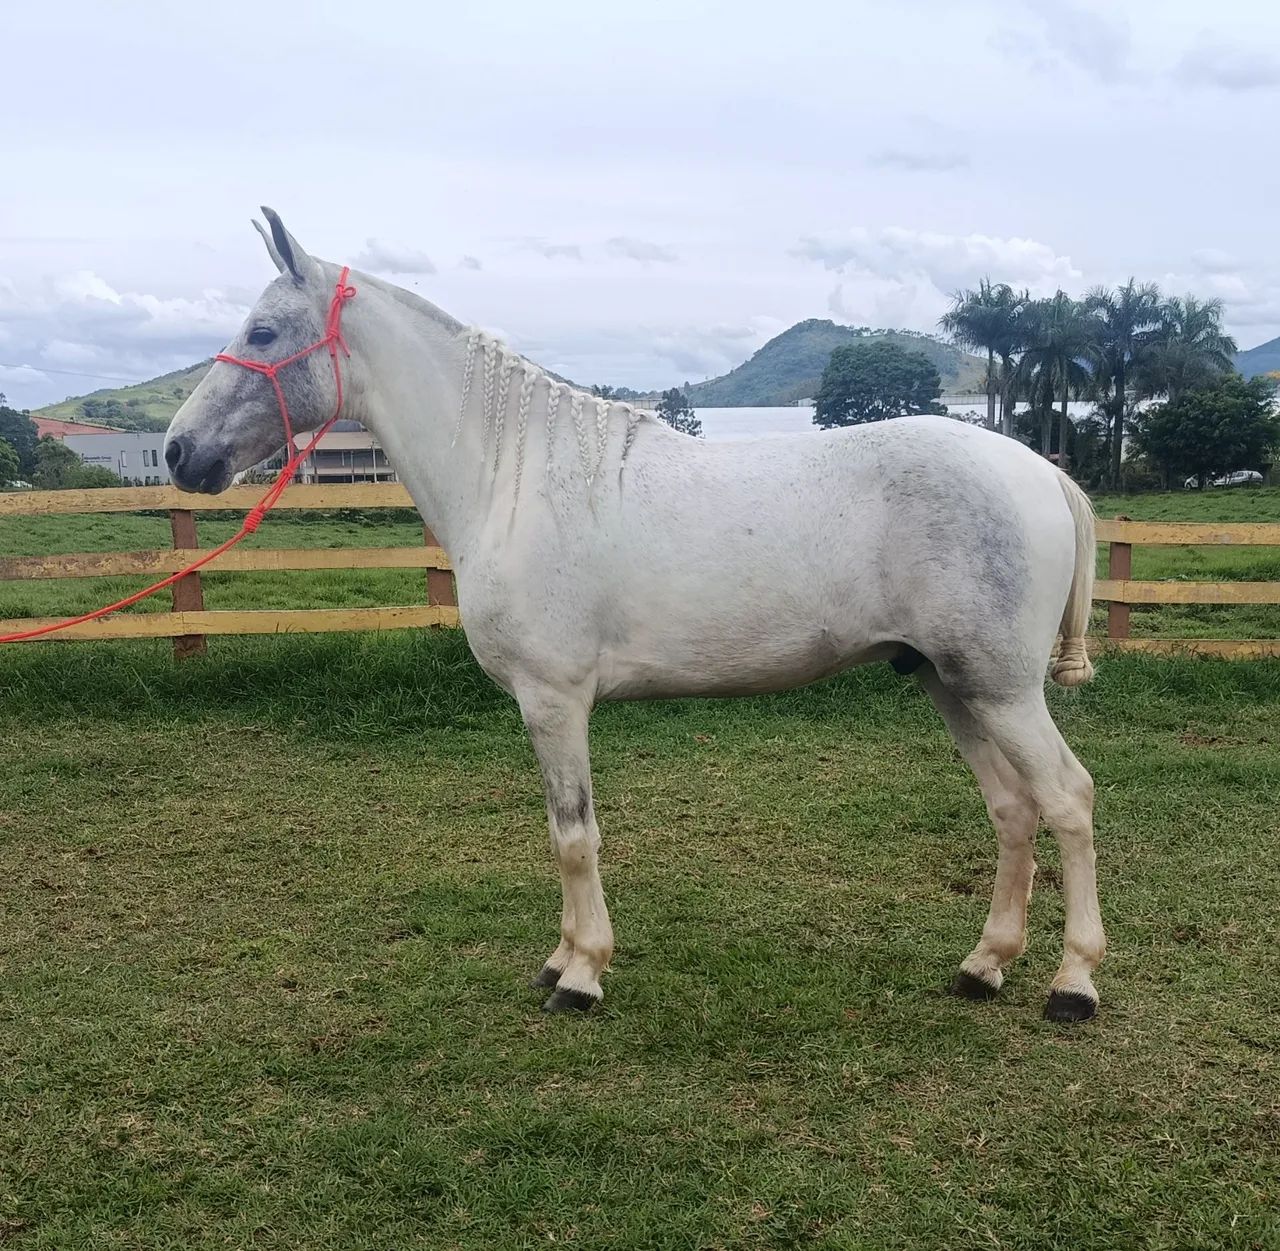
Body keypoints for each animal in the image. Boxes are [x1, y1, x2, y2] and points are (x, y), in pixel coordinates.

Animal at [165, 209, 1105, 1022]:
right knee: (1013, 810)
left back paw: (1073, 984)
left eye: (263, 332)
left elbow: (573, 836)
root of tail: (1041, 472)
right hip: (951, 683)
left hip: (1002, 690)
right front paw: (560, 959)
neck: (511, 475)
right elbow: (562, 833)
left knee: (1067, 798)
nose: (178, 451)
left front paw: (581, 975)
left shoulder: (553, 700)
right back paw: (983, 965)